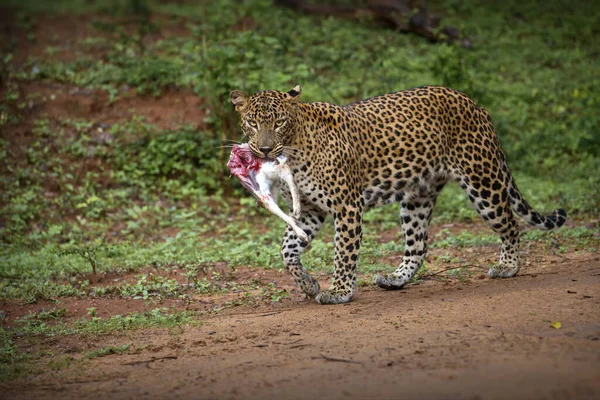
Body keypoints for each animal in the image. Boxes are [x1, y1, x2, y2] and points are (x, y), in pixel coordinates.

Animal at [229, 83, 568, 304]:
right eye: (253, 122)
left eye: (279, 122)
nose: (264, 148)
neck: (293, 147)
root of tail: (474, 103)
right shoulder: (311, 211)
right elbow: (287, 251)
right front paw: (309, 285)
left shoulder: (346, 206)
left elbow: (343, 253)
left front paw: (339, 291)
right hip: (418, 196)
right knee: (418, 245)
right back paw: (396, 279)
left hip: (482, 180)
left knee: (510, 223)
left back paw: (508, 266)